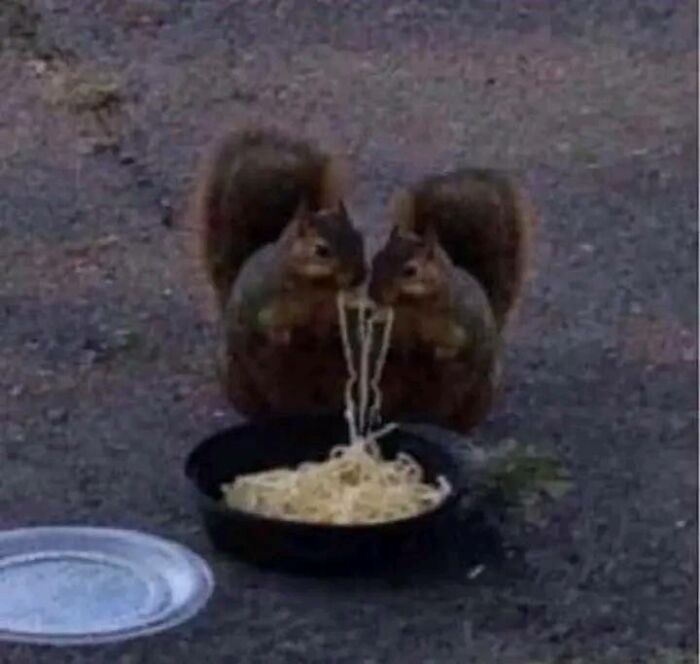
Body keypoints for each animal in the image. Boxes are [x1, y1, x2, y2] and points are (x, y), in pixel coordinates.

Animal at [192, 128, 366, 418]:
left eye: (359, 238)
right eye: (321, 250)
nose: (361, 275)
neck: (317, 288)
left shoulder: (330, 309)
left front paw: (328, 333)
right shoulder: (264, 298)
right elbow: (267, 323)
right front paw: (281, 335)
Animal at [368, 168, 537, 434]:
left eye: (410, 271)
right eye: (376, 259)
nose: (374, 293)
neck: (413, 306)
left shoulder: (461, 321)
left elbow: (457, 344)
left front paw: (439, 354)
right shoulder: (399, 325)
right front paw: (403, 350)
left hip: (475, 394)